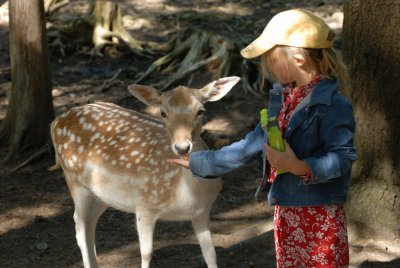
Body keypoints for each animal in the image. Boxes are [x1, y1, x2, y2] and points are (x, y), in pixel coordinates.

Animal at [48, 76, 239, 268]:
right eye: (163, 113)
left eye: (200, 111)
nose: (182, 147)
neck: (188, 196)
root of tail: (55, 122)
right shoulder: (144, 206)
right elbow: (146, 254)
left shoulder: (202, 211)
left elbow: (210, 254)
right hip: (74, 180)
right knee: (79, 227)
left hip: (101, 194)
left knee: (90, 222)